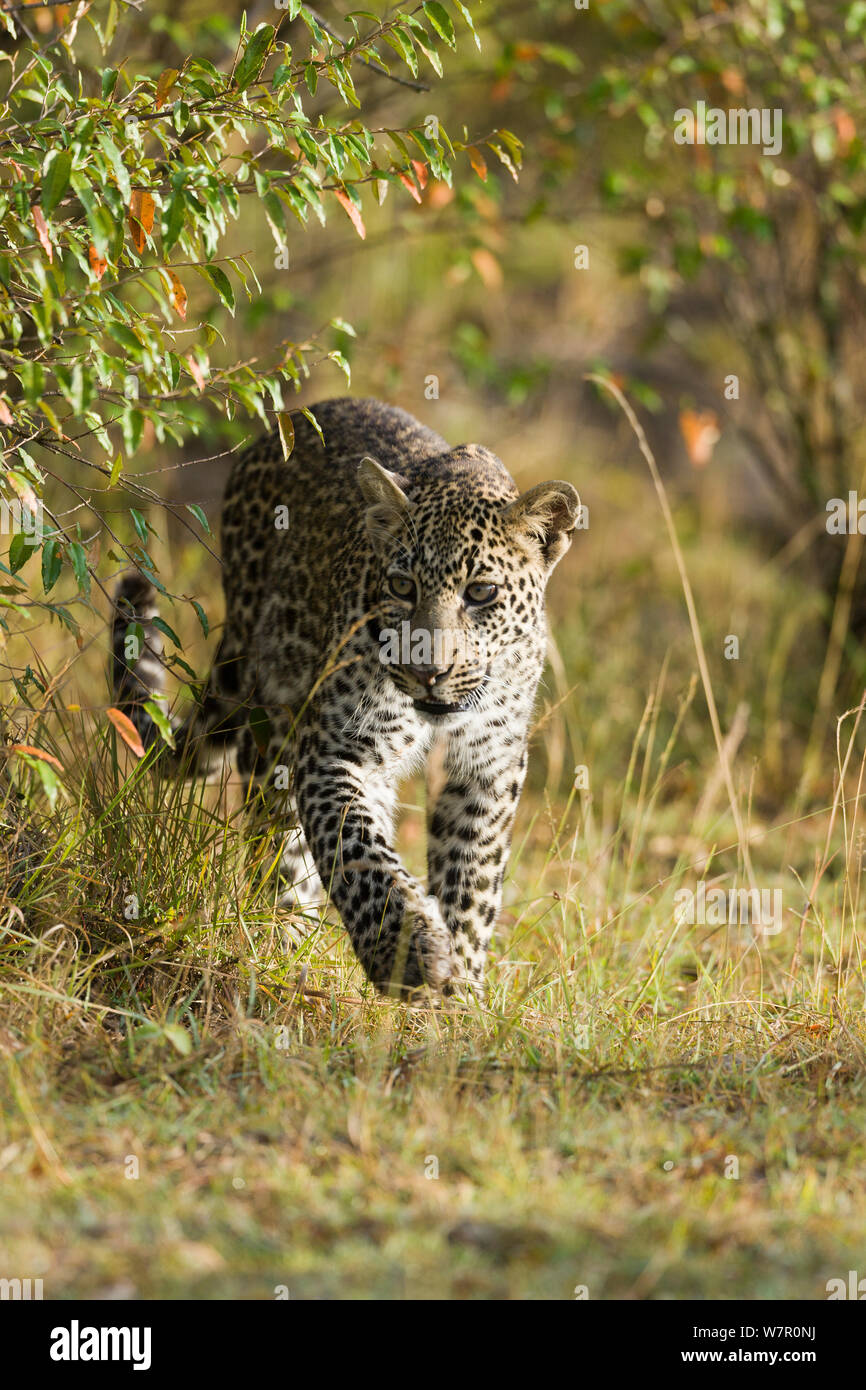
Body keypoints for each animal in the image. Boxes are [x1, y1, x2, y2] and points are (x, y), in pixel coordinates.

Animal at [112, 398, 579, 996]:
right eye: (402, 587)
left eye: (482, 593)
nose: (428, 672)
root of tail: (282, 425)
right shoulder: (337, 749)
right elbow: (355, 848)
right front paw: (407, 951)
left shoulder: (488, 765)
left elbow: (471, 882)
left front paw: (462, 993)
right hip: (274, 714)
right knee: (279, 841)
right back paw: (280, 948)